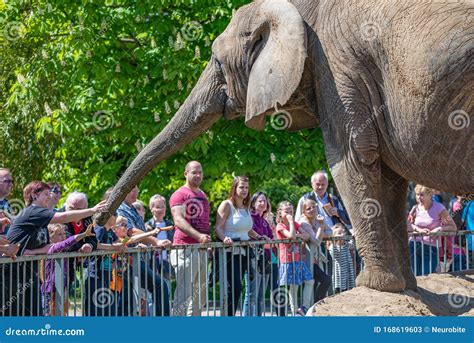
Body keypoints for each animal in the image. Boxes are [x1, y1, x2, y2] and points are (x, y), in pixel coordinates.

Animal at [94, 0, 472, 294]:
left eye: (216, 62)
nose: (97, 219)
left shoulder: (338, 68)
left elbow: (353, 159)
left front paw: (375, 286)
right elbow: (388, 176)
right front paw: (404, 289)